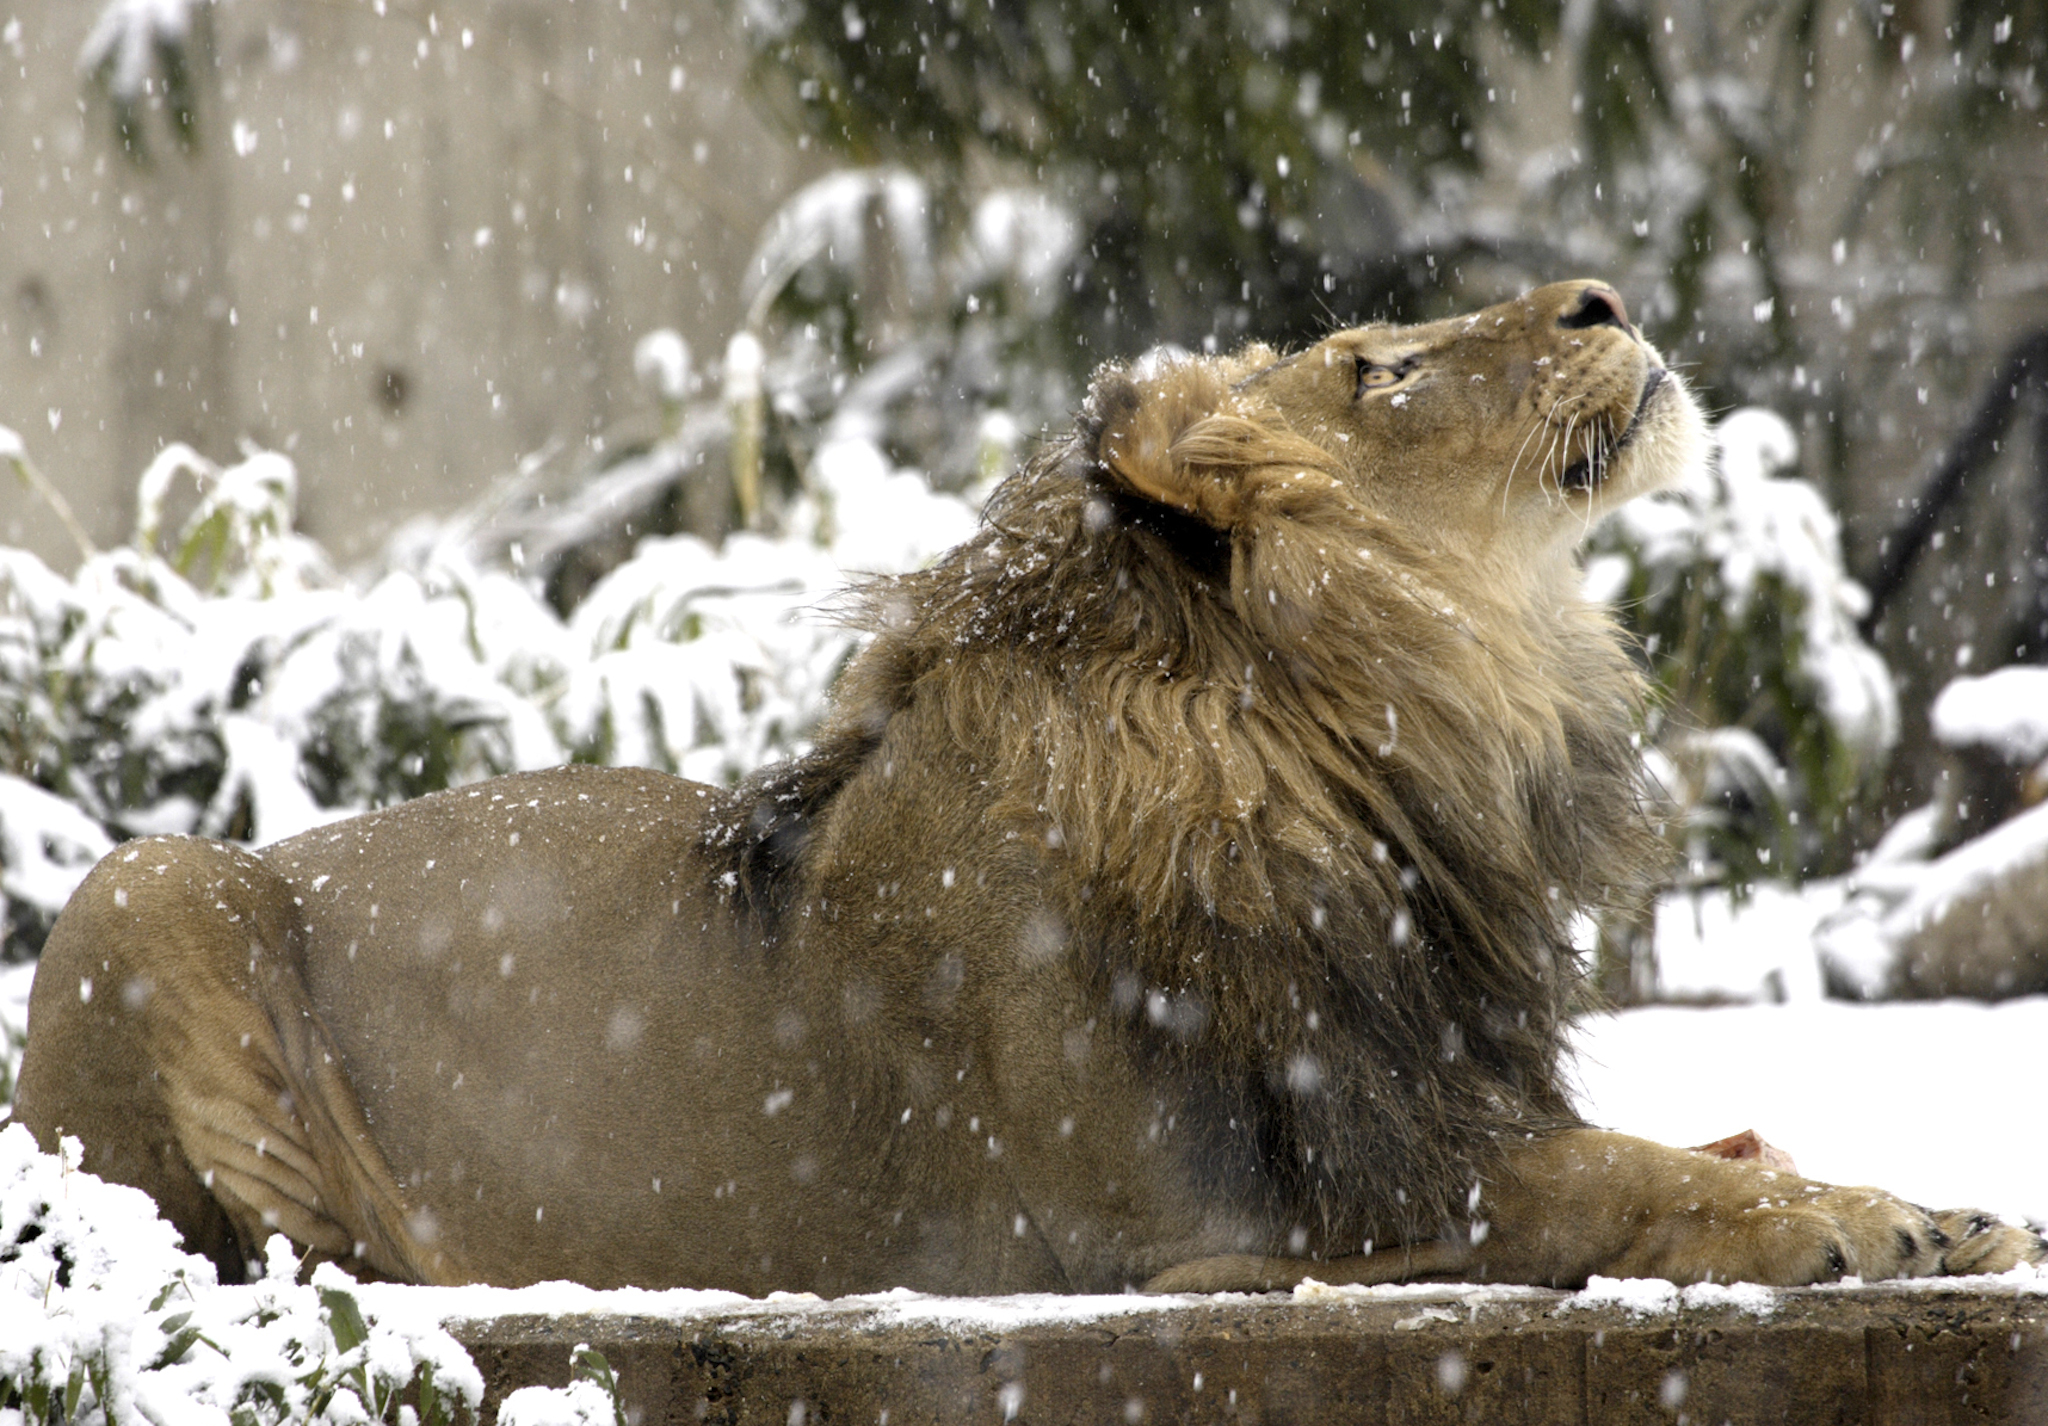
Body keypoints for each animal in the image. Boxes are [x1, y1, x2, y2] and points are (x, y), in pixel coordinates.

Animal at [13, 281, 2041, 1294]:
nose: (1604, 293)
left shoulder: (1414, 1095)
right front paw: (1865, 1222)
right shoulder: (1221, 1223)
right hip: (152, 881)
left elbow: (1695, 1144)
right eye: (1374, 365)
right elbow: (1626, 1186)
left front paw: (1931, 1201)